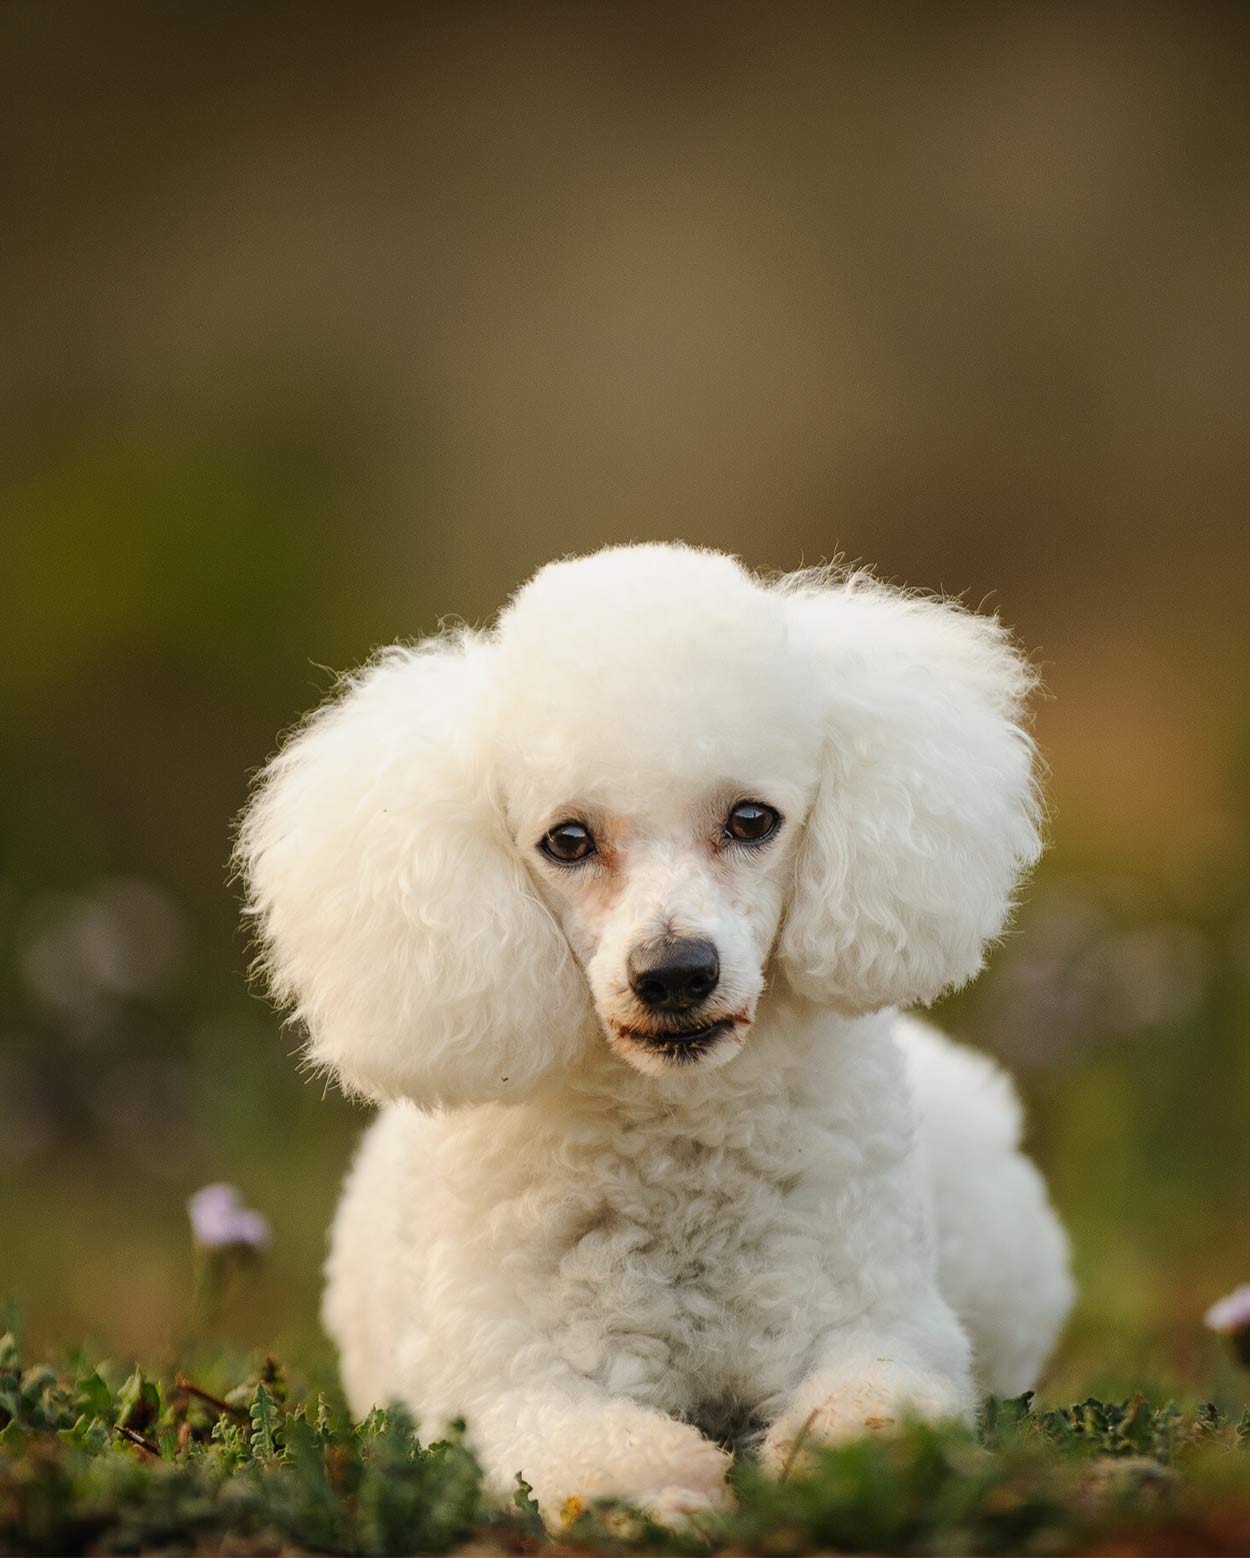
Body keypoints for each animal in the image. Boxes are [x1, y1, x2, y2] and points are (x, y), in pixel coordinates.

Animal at [236, 545, 1072, 1520]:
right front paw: (671, 1493)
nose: (675, 973)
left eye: (751, 820)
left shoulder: (876, 1316)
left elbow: (874, 1408)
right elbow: (603, 1455)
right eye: (567, 840)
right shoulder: (513, 1381)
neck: (682, 1144)